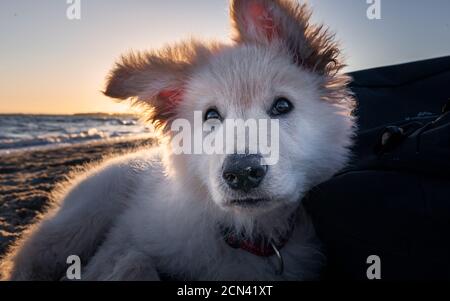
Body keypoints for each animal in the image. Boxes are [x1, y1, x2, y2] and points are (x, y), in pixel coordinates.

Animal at [2, 0, 356, 280]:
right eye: (211, 115)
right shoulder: (120, 240)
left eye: (282, 106)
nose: (242, 173)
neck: (246, 232)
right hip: (79, 219)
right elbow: (135, 262)